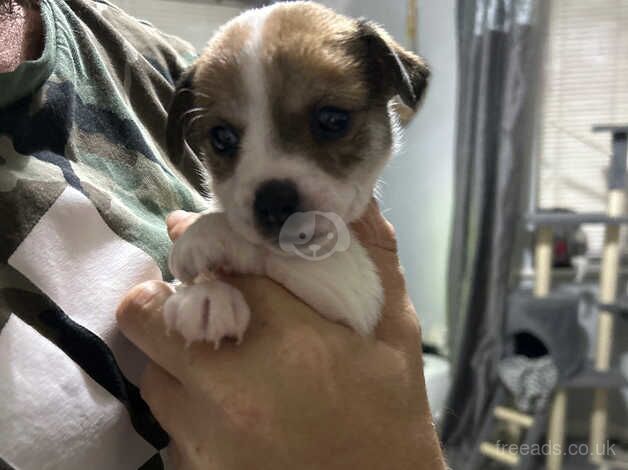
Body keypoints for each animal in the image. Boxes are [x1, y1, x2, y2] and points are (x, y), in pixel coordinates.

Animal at [163, 0, 426, 346]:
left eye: (332, 119)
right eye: (222, 138)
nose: (274, 203)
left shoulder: (354, 294)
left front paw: (203, 236)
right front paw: (203, 295)